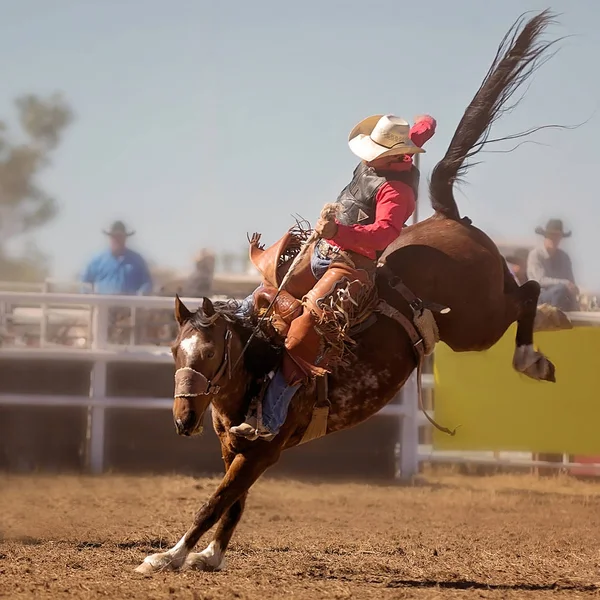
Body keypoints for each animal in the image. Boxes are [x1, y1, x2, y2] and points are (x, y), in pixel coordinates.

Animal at [137, 9, 572, 572]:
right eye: (174, 350)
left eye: (210, 353)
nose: (183, 418)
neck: (258, 362)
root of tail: (448, 216)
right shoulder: (233, 447)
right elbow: (233, 502)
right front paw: (210, 555)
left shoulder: (260, 450)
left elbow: (215, 500)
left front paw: (170, 556)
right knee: (526, 289)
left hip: (476, 324)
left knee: (530, 293)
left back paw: (536, 353)